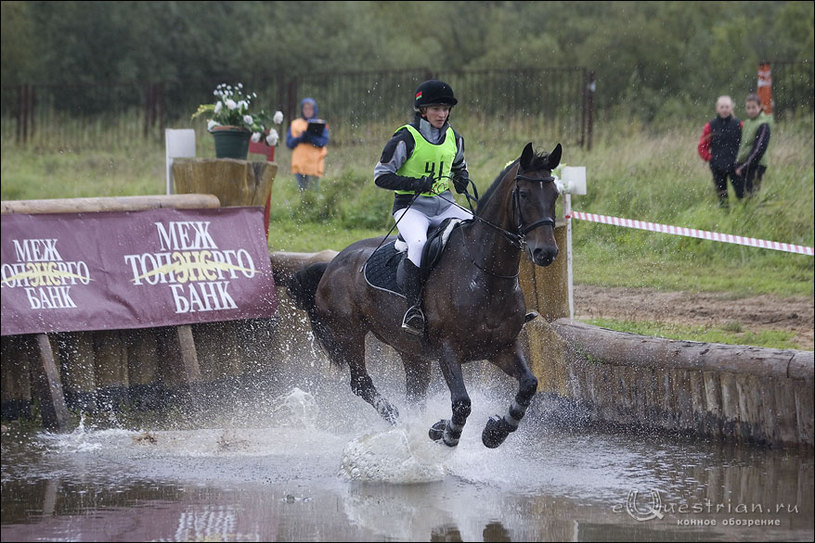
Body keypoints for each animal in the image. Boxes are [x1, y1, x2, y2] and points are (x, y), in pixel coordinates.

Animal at [290, 142, 564, 448]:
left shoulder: (502, 347)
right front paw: (446, 432)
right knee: (361, 382)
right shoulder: (447, 349)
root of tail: (333, 263)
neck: (485, 275)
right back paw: (396, 418)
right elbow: (462, 403)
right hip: (349, 333)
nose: (545, 252)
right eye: (524, 194)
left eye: (555, 194)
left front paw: (495, 431)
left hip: (411, 352)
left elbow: (529, 385)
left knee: (414, 392)